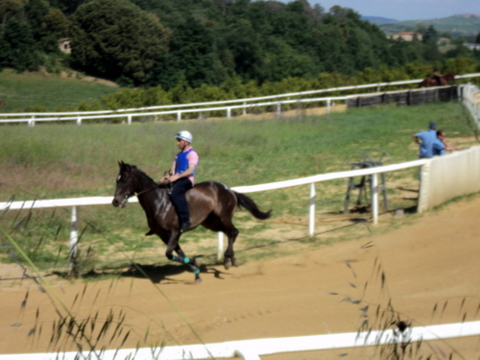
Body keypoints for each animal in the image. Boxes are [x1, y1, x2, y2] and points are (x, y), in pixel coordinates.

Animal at [110, 162, 272, 282]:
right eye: (117, 180)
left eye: (124, 180)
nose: (116, 201)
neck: (159, 202)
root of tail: (229, 190)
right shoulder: (163, 235)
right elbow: (179, 252)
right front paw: (196, 269)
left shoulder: (174, 232)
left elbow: (169, 253)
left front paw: (196, 264)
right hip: (211, 222)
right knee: (229, 233)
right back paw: (232, 259)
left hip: (224, 217)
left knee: (234, 232)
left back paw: (227, 260)